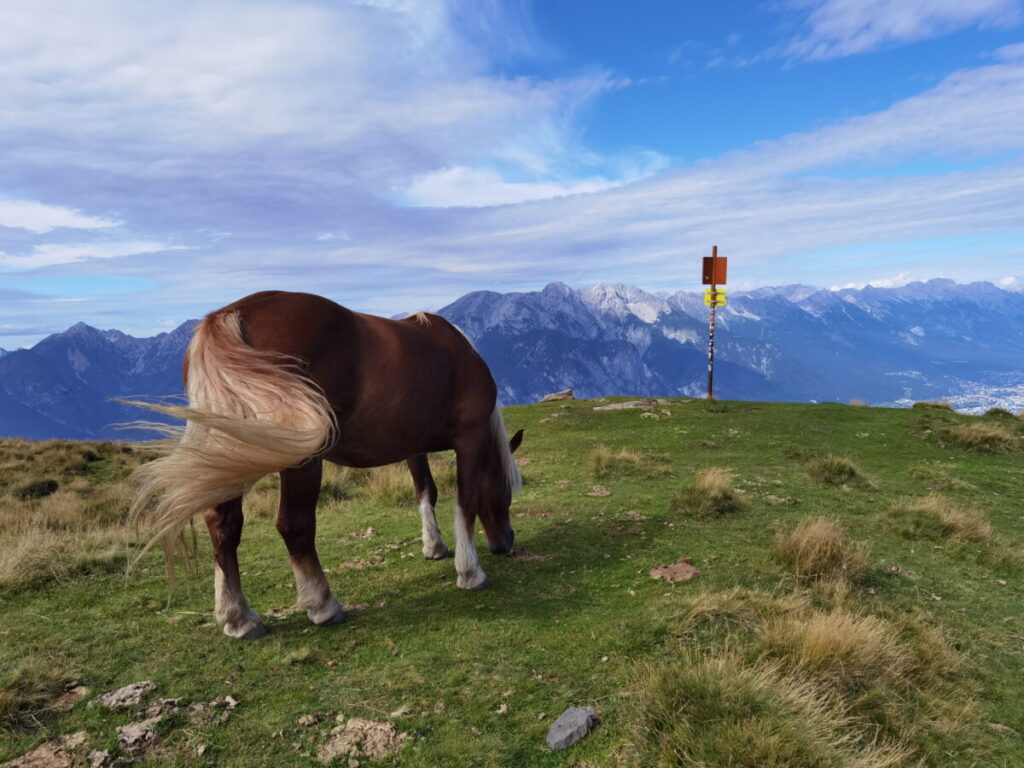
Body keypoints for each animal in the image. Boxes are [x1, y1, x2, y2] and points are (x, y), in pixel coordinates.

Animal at [130, 290, 520, 638]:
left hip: (232, 454)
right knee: (294, 525)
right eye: (509, 490)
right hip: (299, 459)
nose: (506, 541)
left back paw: (239, 618)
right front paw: (470, 573)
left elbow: (426, 492)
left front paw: (434, 547)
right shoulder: (470, 438)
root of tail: (228, 316)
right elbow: (466, 500)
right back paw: (323, 606)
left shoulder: (414, 447)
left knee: (223, 526)